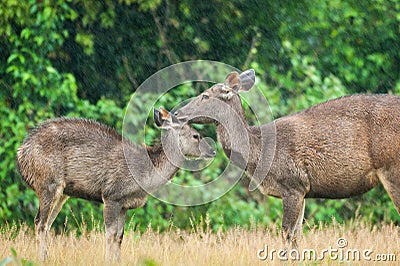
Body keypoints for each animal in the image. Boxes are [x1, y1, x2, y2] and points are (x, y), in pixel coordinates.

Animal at [16, 108, 216, 262]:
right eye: (196, 135)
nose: (213, 151)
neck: (144, 177)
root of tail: (21, 153)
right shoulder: (111, 195)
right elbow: (110, 234)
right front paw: (107, 260)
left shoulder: (125, 204)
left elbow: (120, 236)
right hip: (48, 183)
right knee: (40, 223)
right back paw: (41, 259)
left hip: (62, 193)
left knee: (47, 224)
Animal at [177, 69, 400, 248]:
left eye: (205, 96)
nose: (178, 113)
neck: (259, 155)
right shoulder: (303, 190)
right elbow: (297, 235)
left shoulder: (292, 183)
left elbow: (286, 233)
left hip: (392, 167)